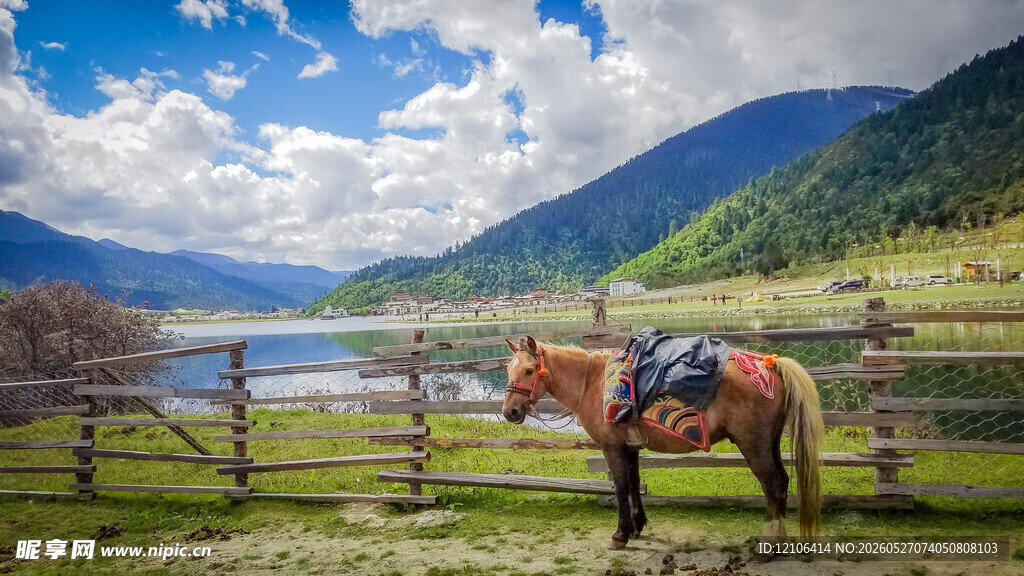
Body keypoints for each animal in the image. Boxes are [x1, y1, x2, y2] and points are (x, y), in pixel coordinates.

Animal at [501, 335, 824, 549]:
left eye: (529, 370)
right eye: (508, 370)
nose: (510, 412)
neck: (592, 383)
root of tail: (770, 365)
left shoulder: (612, 447)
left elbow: (620, 487)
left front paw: (620, 535)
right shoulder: (629, 447)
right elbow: (634, 483)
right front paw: (637, 527)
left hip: (753, 445)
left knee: (773, 485)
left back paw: (769, 545)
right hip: (769, 443)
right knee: (782, 482)